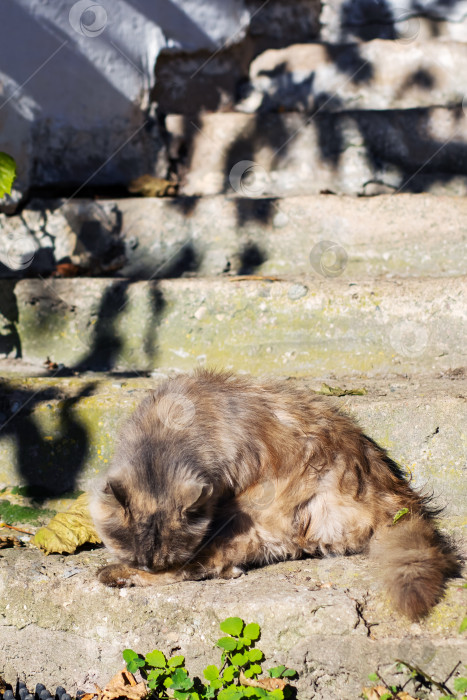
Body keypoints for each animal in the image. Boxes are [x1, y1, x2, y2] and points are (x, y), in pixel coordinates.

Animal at [89, 366, 458, 616]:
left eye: (156, 560)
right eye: (137, 555)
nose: (148, 567)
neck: (165, 433)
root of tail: (394, 497)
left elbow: (186, 567)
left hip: (251, 511)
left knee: (207, 565)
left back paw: (114, 575)